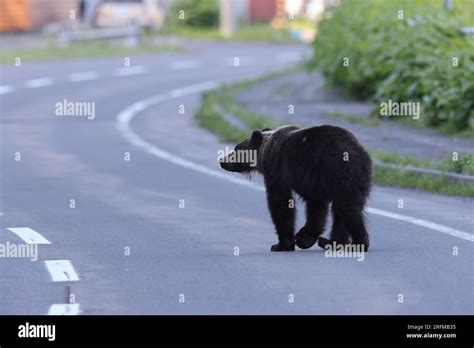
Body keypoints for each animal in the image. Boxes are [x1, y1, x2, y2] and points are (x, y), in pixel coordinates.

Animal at [220, 125, 372, 253]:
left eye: (236, 149)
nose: (222, 160)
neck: (265, 152)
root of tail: (360, 155)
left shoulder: (279, 171)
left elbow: (280, 203)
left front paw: (283, 244)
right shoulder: (313, 182)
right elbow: (317, 207)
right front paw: (305, 238)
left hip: (341, 173)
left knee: (347, 208)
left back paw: (358, 243)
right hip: (355, 180)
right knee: (341, 210)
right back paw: (332, 242)